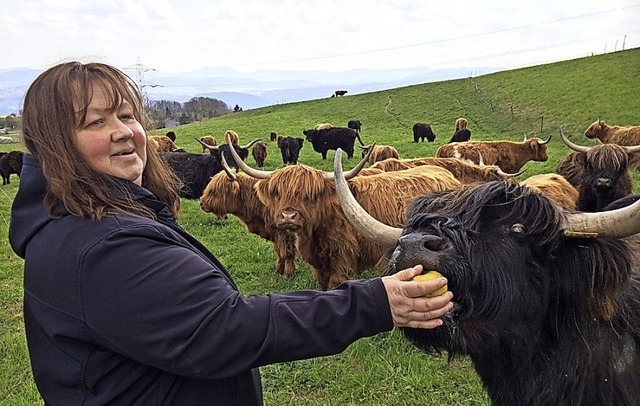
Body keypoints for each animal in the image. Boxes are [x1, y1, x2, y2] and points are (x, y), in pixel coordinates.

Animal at [229, 140, 460, 292]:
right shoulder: (319, 265)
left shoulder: (342, 259)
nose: (288, 216)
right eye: (278, 192)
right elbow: (321, 286)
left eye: (310, 195)